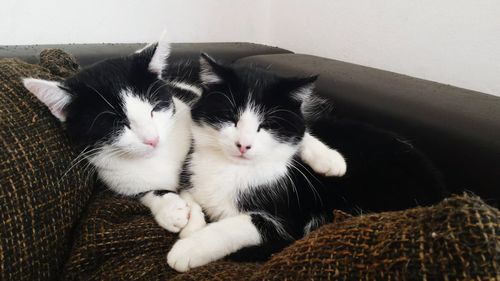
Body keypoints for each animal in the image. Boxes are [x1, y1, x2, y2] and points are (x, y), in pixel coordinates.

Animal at [21, 38, 346, 232]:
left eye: (154, 109)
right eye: (117, 123)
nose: (152, 139)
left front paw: (326, 157)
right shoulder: (112, 177)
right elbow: (146, 191)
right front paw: (172, 208)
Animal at [168, 53, 446, 272]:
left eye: (267, 125)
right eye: (230, 117)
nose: (243, 145)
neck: (231, 169)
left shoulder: (286, 221)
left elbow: (240, 224)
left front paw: (188, 248)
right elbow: (190, 196)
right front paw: (191, 225)